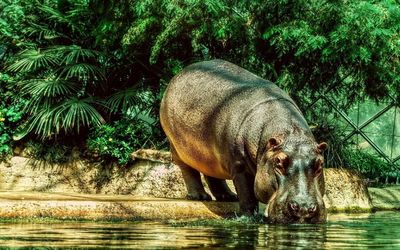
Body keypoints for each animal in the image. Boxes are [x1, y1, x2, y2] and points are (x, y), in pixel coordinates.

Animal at [159, 59, 328, 224]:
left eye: (320, 164)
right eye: (278, 162)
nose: (303, 208)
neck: (290, 134)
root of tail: (179, 74)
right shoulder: (240, 166)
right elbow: (247, 195)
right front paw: (248, 217)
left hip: (209, 154)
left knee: (211, 174)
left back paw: (228, 196)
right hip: (178, 148)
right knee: (188, 170)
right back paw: (200, 196)